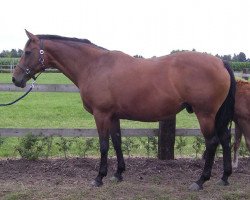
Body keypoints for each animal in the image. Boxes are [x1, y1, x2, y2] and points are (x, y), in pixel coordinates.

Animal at [12, 30, 236, 190]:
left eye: (27, 52)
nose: (16, 79)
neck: (94, 66)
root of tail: (220, 62)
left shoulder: (101, 115)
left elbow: (104, 145)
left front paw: (99, 178)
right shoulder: (113, 116)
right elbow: (117, 142)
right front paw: (118, 174)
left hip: (205, 114)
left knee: (213, 142)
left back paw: (200, 181)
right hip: (217, 116)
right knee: (225, 139)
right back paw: (224, 177)